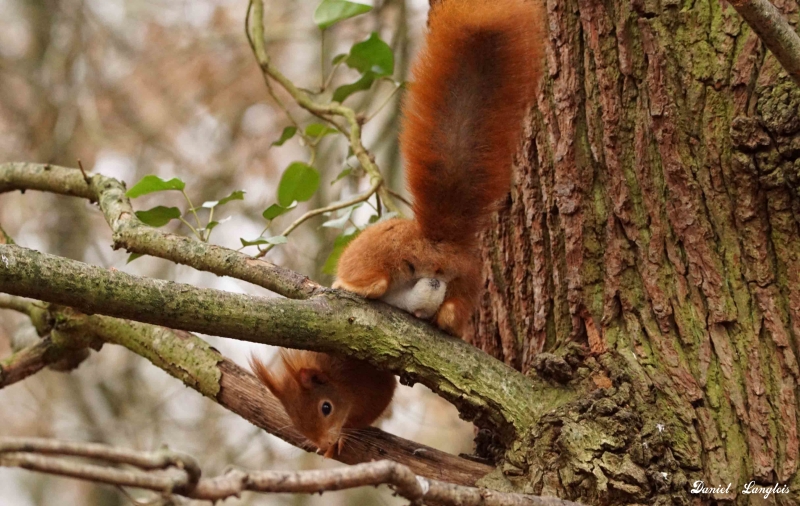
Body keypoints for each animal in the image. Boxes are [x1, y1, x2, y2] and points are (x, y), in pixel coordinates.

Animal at [334, 0, 548, 340]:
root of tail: (436, 248)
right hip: (467, 282)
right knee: (452, 308)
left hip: (378, 249)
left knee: (372, 276)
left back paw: (354, 285)